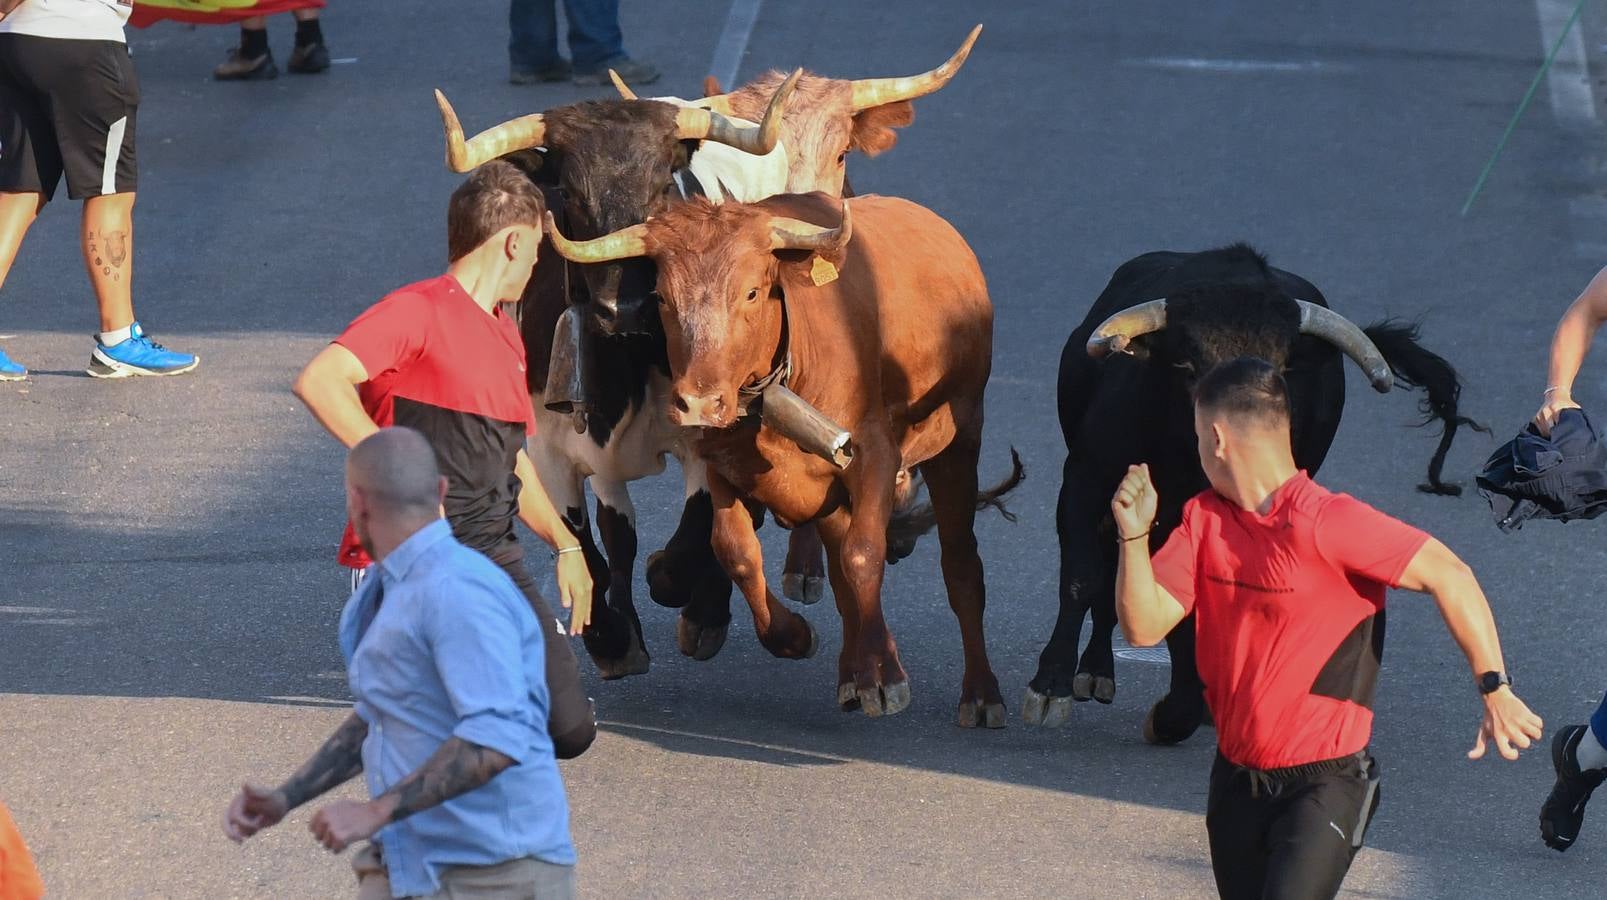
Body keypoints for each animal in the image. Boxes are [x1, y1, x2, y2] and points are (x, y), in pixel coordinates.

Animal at [539, 195, 1015, 723]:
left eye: (751, 292)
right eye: (662, 297)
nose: (699, 402)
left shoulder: (874, 455)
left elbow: (863, 554)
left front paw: (885, 677)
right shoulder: (720, 464)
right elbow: (738, 553)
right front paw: (796, 638)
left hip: (960, 440)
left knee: (960, 564)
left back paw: (980, 695)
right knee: (840, 569)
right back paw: (853, 673)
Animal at [1022, 242, 1484, 742]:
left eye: (1280, 369)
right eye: (1186, 364)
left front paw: (1185, 704)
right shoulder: (1085, 478)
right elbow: (1081, 577)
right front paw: (1049, 687)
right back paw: (1096, 671)